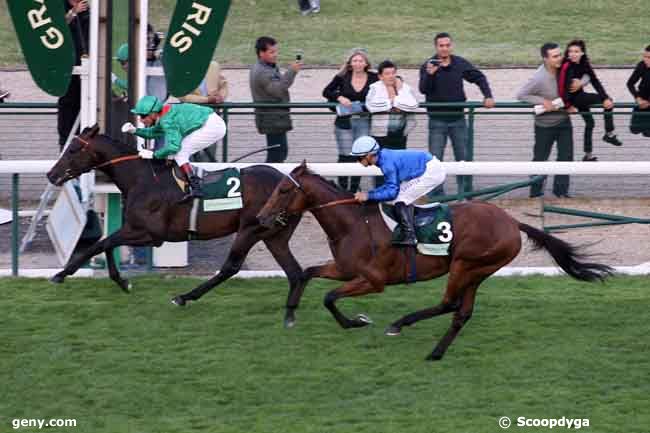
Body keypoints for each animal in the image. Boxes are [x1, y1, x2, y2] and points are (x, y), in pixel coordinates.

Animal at [48, 123, 306, 326]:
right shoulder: (136, 230)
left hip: (251, 229)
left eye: (72, 149)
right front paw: (122, 282)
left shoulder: (151, 234)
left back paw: (184, 297)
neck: (142, 179)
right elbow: (107, 244)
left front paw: (62, 274)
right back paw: (291, 311)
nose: (51, 174)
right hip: (274, 235)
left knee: (230, 267)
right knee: (294, 272)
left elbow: (102, 244)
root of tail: (291, 182)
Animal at [256, 160, 612, 360]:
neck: (353, 223)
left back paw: (400, 324)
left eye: (284, 190)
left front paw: (358, 321)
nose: (261, 217)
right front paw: (290, 314)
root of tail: (512, 222)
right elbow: (307, 274)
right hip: (479, 271)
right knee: (461, 312)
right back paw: (436, 352)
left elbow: (329, 297)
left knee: (449, 304)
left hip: (465, 265)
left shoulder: (373, 280)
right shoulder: (344, 270)